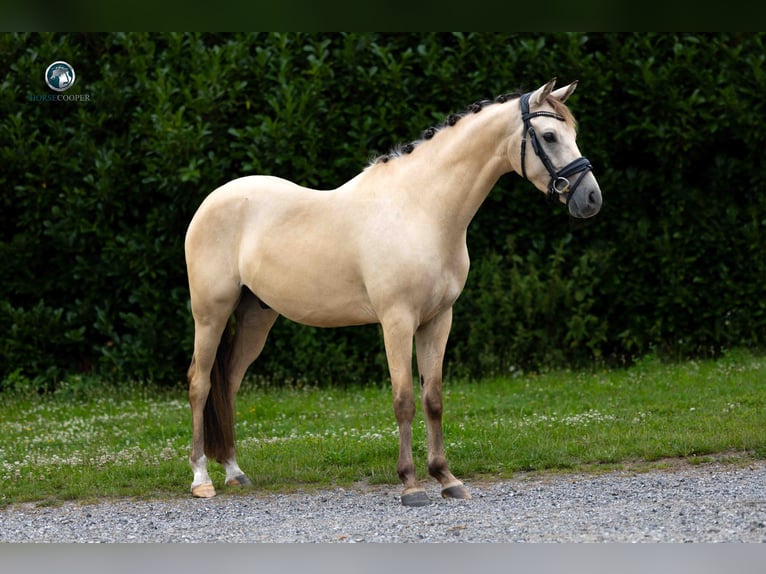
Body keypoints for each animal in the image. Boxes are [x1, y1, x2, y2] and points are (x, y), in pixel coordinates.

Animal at [184, 77, 600, 508]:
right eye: (549, 136)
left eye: (573, 134)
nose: (591, 198)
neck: (422, 208)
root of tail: (213, 200)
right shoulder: (397, 321)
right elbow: (404, 401)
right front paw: (411, 485)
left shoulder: (438, 319)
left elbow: (433, 399)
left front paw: (447, 478)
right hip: (210, 314)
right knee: (200, 383)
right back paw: (201, 478)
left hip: (256, 318)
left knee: (229, 384)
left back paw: (234, 472)